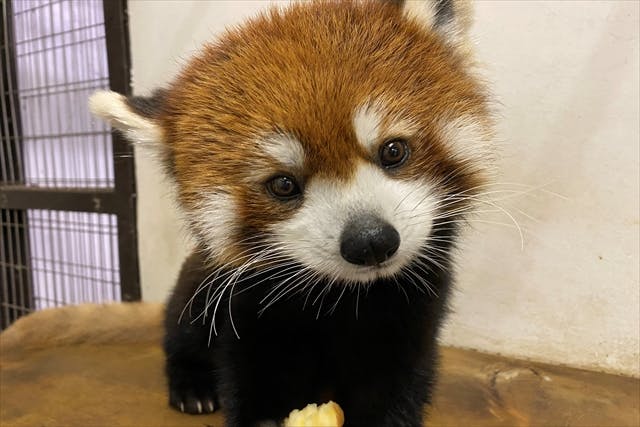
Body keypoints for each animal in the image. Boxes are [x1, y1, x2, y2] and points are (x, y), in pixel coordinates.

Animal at [87, 0, 492, 427]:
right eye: (283, 184)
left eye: (394, 150)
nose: (370, 242)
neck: (346, 297)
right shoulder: (249, 309)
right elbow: (256, 376)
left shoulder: (413, 308)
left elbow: (394, 383)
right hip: (196, 288)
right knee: (182, 327)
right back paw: (191, 385)